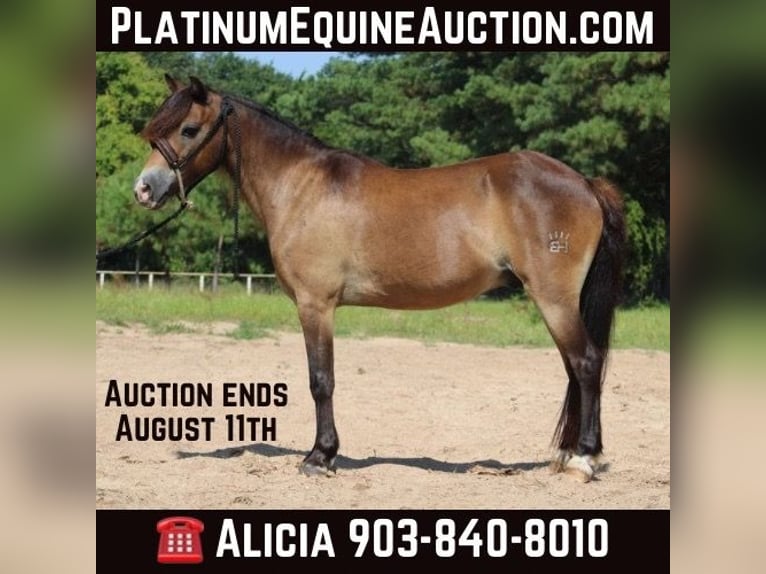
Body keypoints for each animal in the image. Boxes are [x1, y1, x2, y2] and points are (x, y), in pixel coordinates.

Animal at [133, 75, 625, 483]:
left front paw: (320, 457)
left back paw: (583, 459)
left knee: (585, 364)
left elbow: (321, 380)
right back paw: (567, 455)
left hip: (554, 298)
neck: (301, 186)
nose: (143, 189)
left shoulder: (315, 304)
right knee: (575, 367)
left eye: (188, 129)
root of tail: (584, 182)